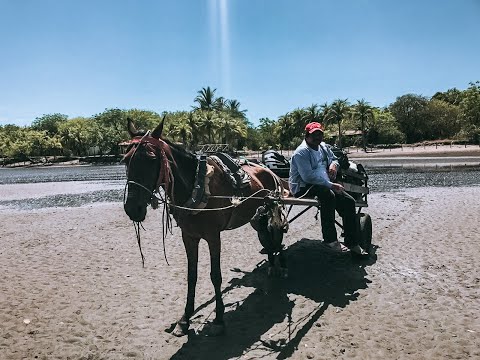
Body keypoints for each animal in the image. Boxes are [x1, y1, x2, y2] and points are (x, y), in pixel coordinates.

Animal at [124, 119, 288, 338]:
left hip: (271, 209)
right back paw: (272, 264)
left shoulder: (213, 236)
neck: (197, 186)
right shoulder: (189, 236)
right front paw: (185, 319)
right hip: (258, 216)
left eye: (151, 159)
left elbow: (215, 276)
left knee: (276, 236)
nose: (132, 208)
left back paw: (280, 266)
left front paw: (219, 319)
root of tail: (267, 169)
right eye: (125, 160)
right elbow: (191, 276)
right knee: (266, 237)